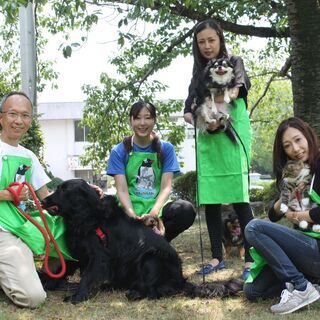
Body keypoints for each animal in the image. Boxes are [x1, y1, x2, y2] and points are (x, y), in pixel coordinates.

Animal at [42, 179, 242, 304]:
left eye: (64, 189)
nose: (43, 201)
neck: (88, 216)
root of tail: (180, 279)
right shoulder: (77, 253)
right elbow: (61, 269)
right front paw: (46, 283)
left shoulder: (99, 256)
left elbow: (88, 276)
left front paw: (77, 296)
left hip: (151, 257)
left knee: (155, 292)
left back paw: (135, 293)